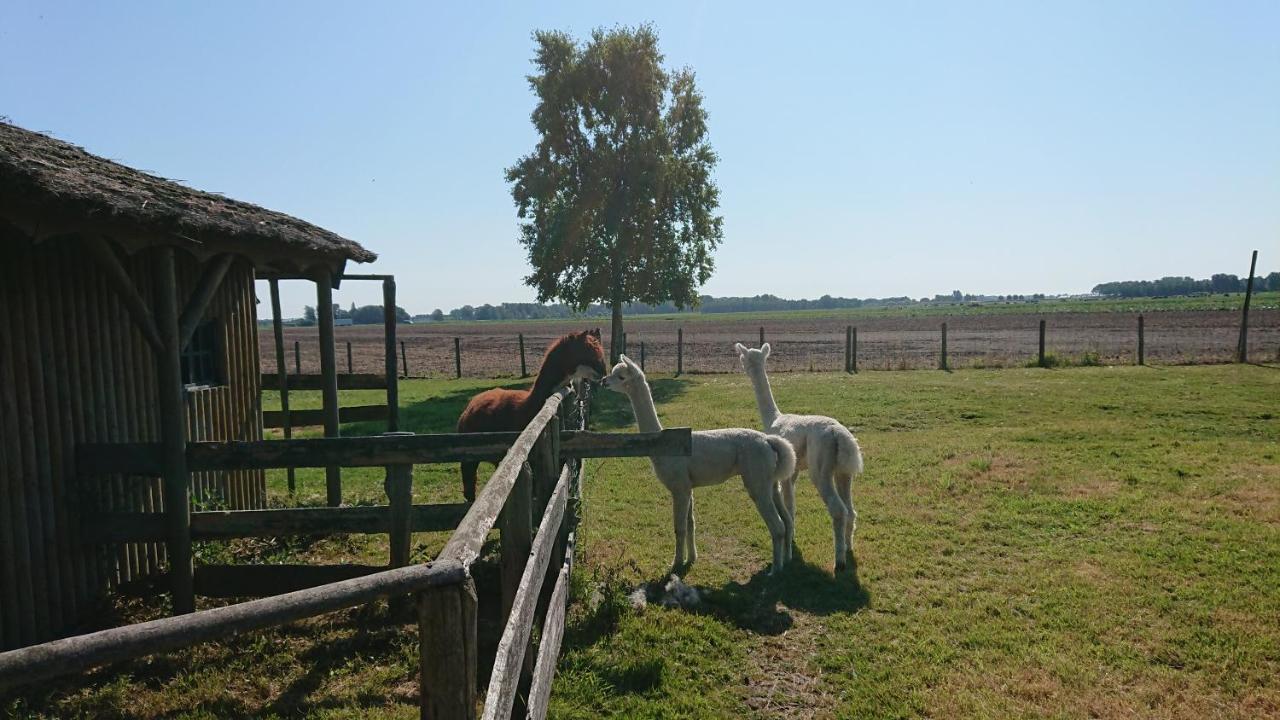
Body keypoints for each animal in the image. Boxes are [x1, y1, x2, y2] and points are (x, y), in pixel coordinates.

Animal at [455, 330, 604, 499]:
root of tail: (470, 405)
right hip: (468, 455)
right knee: (469, 488)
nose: (603, 371)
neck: (530, 406)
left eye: (600, 351)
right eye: (587, 352)